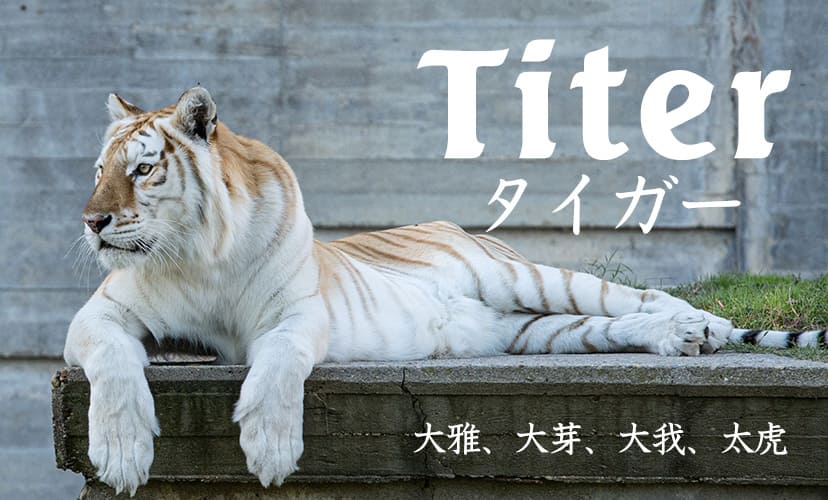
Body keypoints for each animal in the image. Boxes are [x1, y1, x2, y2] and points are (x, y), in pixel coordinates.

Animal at [64, 87, 828, 496]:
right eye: (99, 171)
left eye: (141, 171)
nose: (91, 221)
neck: (200, 256)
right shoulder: (99, 317)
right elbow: (114, 365)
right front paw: (123, 453)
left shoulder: (298, 315)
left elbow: (278, 364)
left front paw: (272, 449)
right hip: (534, 330)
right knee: (616, 326)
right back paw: (683, 339)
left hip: (529, 277)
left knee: (640, 300)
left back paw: (702, 327)